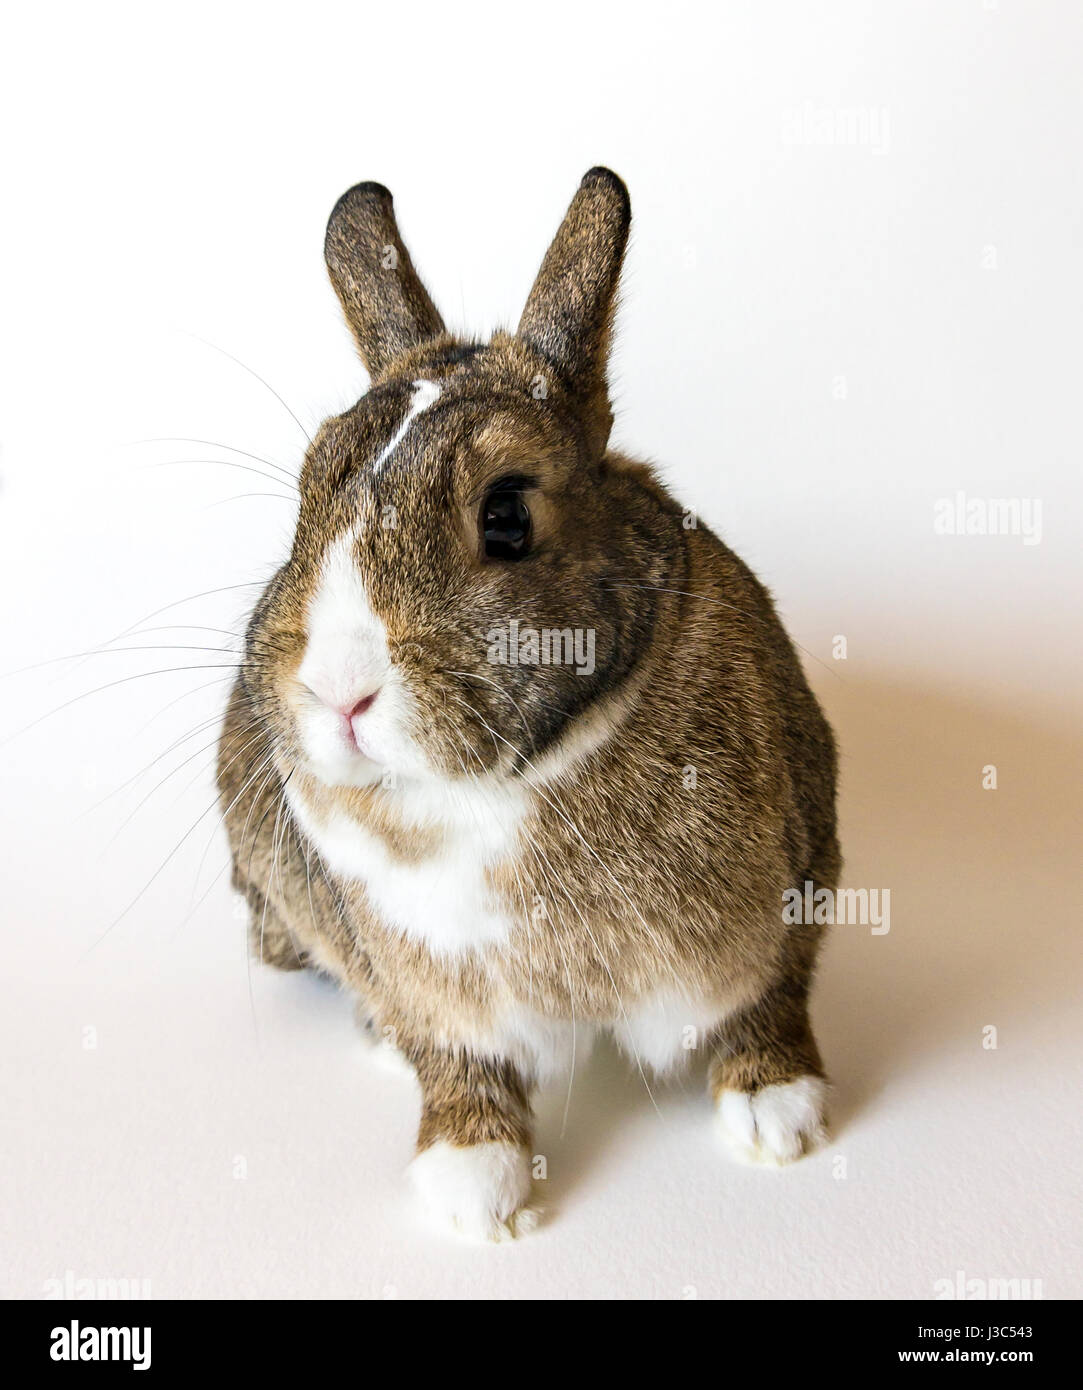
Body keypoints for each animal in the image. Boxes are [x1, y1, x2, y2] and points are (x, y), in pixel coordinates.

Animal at [217, 167, 840, 1240]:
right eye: (305, 500)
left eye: (506, 515)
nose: (339, 691)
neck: (509, 780)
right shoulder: (432, 990)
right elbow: (455, 1065)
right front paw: (472, 1191)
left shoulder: (794, 884)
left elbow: (770, 1000)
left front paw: (778, 1118)